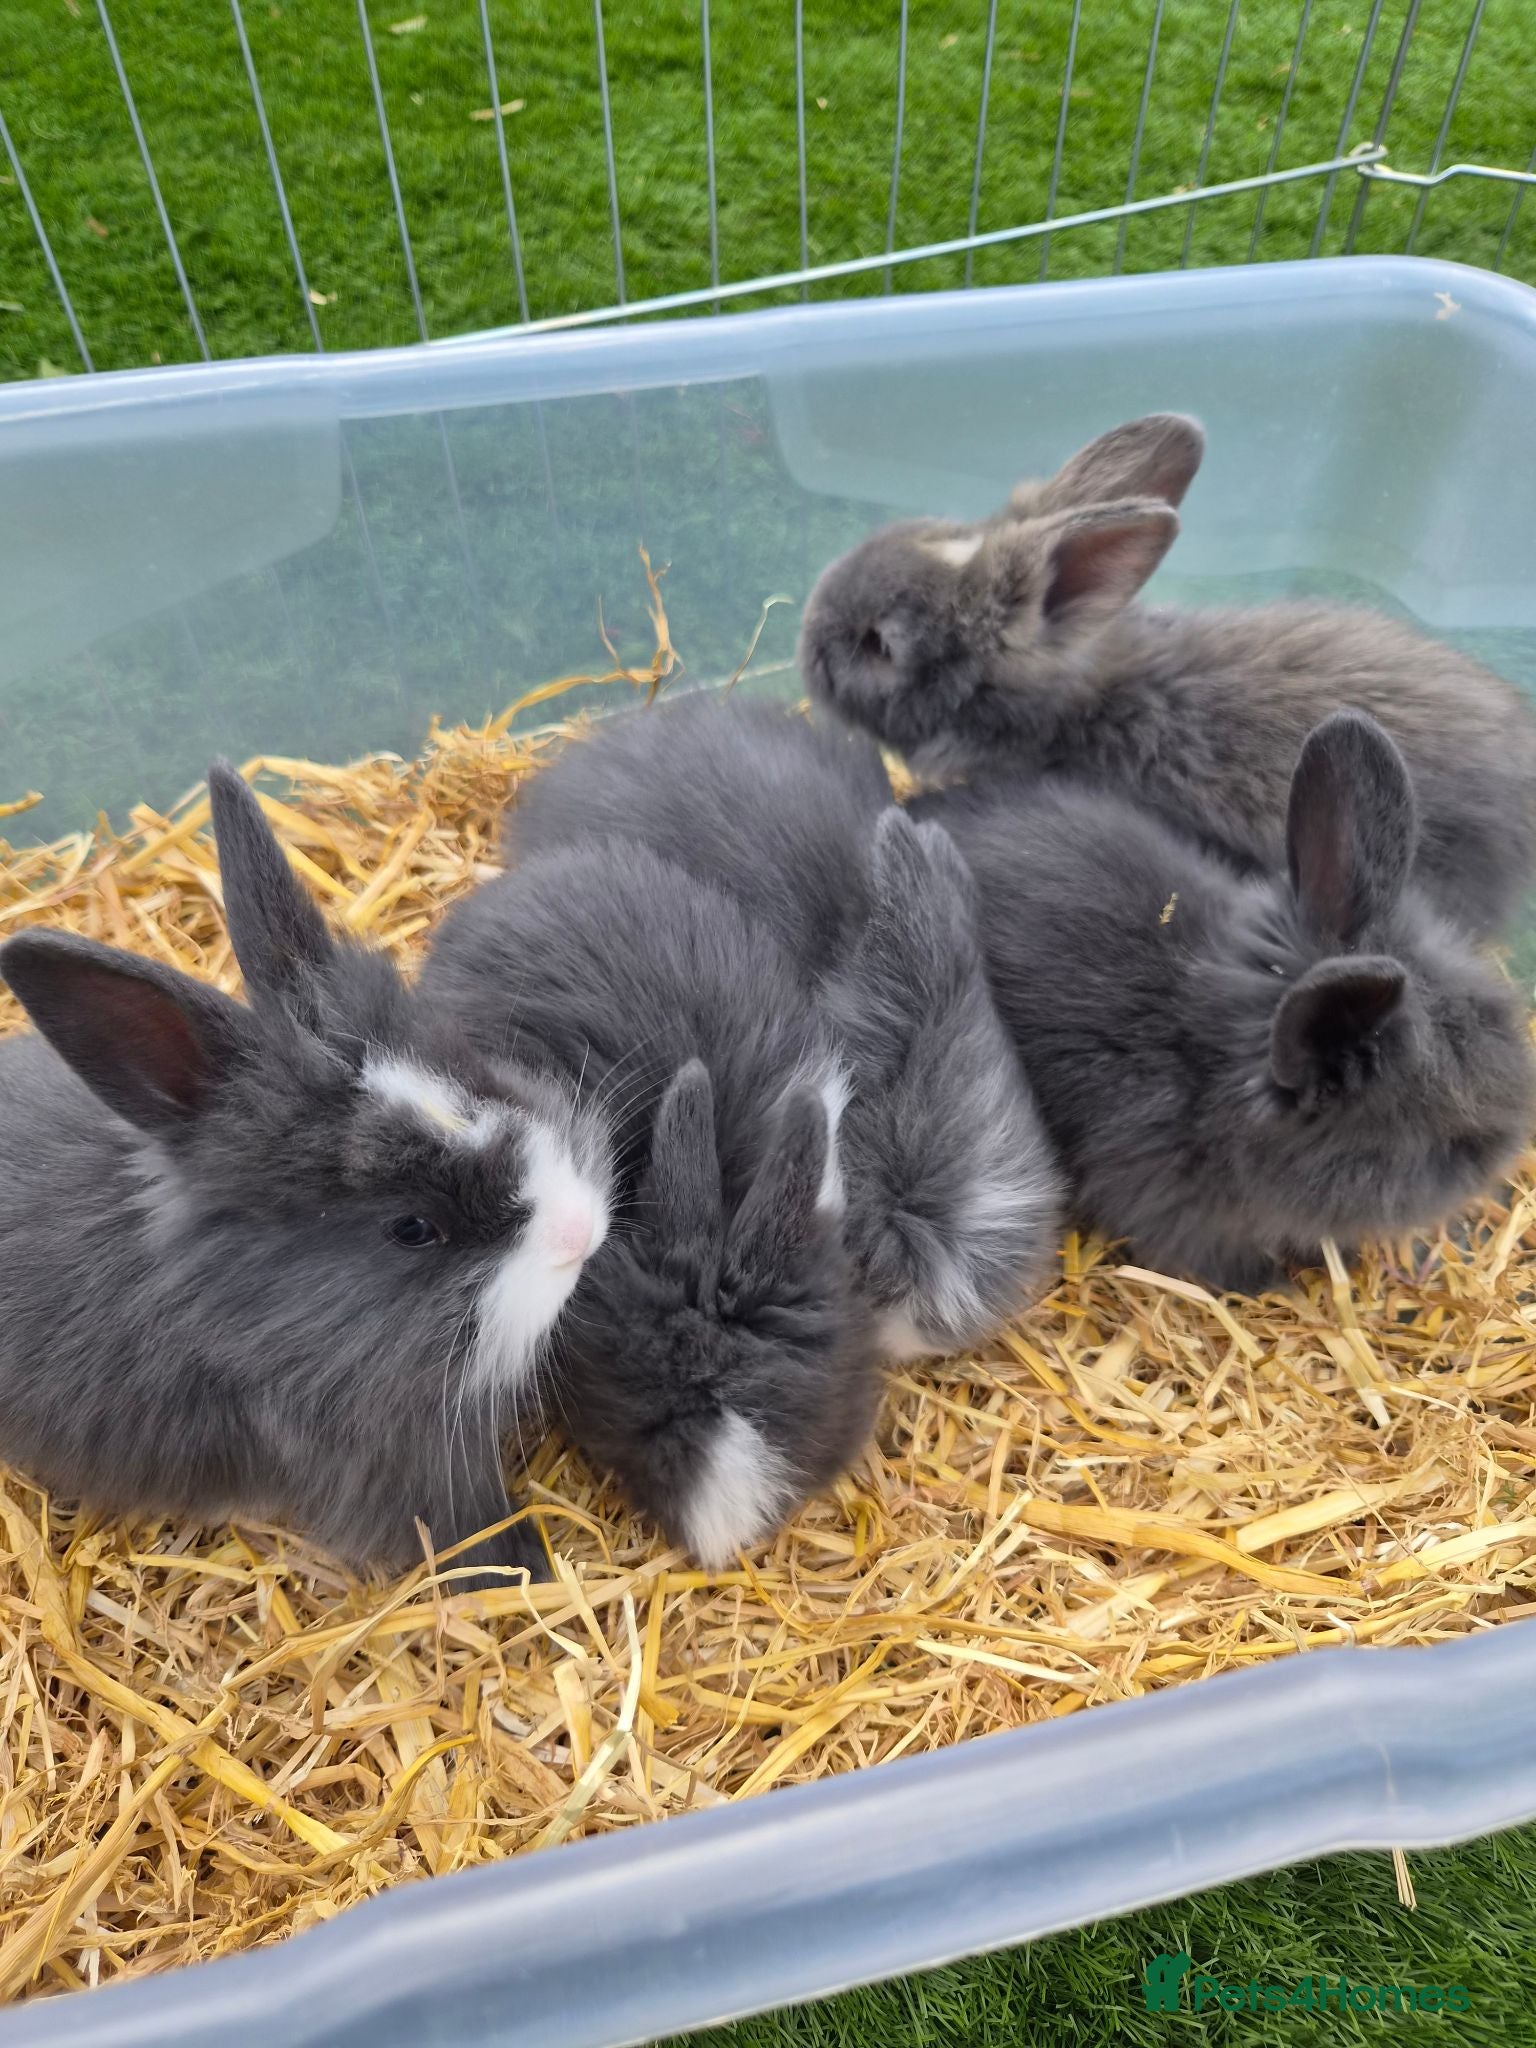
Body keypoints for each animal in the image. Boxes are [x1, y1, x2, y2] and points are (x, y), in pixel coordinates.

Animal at [0, 763, 615, 1588]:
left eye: (473, 1070)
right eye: (411, 1229)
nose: (581, 1231)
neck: (241, 1317)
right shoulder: (397, 1466)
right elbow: (468, 1530)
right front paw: (531, 1570)